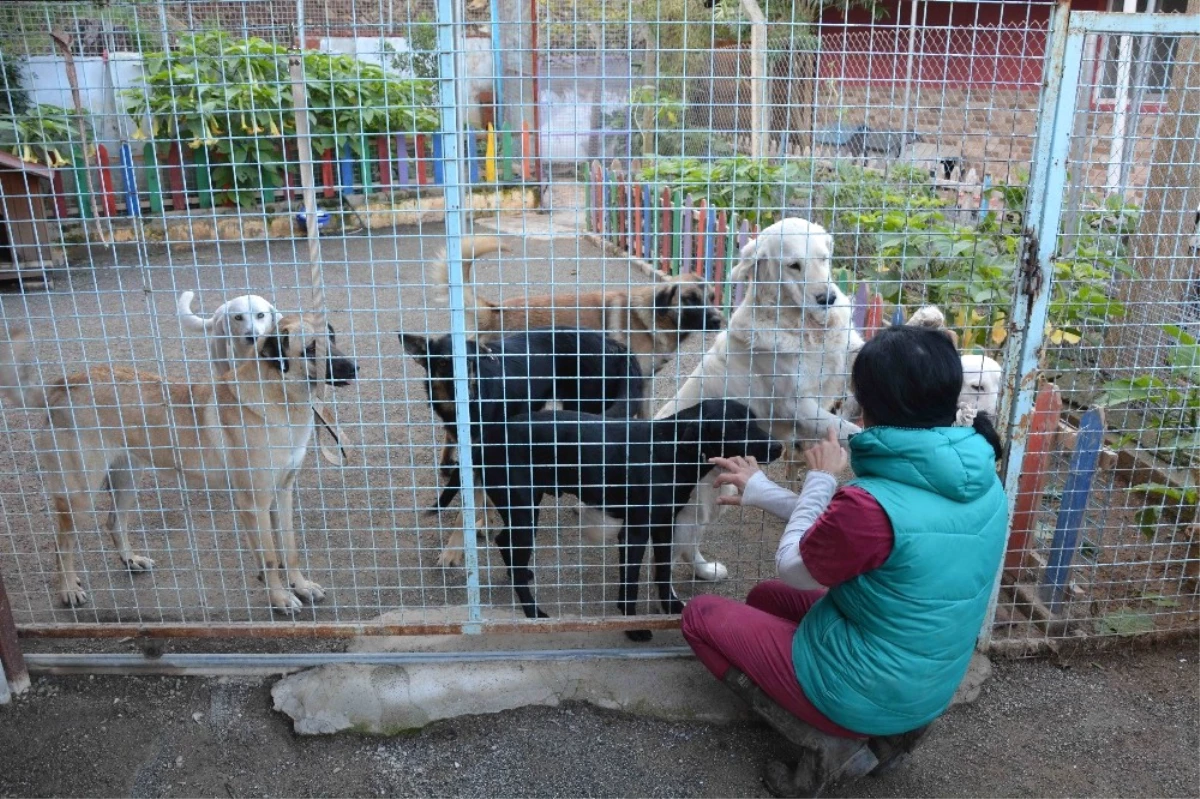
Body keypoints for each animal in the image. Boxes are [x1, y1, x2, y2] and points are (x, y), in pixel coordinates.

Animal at [0, 314, 355, 611]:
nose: (355, 368)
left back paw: (129, 561)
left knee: (114, 522)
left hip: (127, 479)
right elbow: (269, 557)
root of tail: (63, 386)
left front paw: (300, 586)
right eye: (311, 348)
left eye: (333, 337)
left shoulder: (281, 494)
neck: (279, 398)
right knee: (62, 543)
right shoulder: (254, 502)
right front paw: (280, 597)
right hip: (79, 495)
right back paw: (67, 589)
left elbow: (289, 548)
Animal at [477, 398, 787, 643]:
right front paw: (632, 626)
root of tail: (489, 437)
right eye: (736, 425)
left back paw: (520, 576)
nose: (779, 447)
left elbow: (663, 572)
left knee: (504, 542)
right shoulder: (635, 532)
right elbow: (631, 582)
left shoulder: (664, 527)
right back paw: (533, 611)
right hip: (524, 510)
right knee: (509, 544)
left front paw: (671, 607)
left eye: (754, 420)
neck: (669, 449)